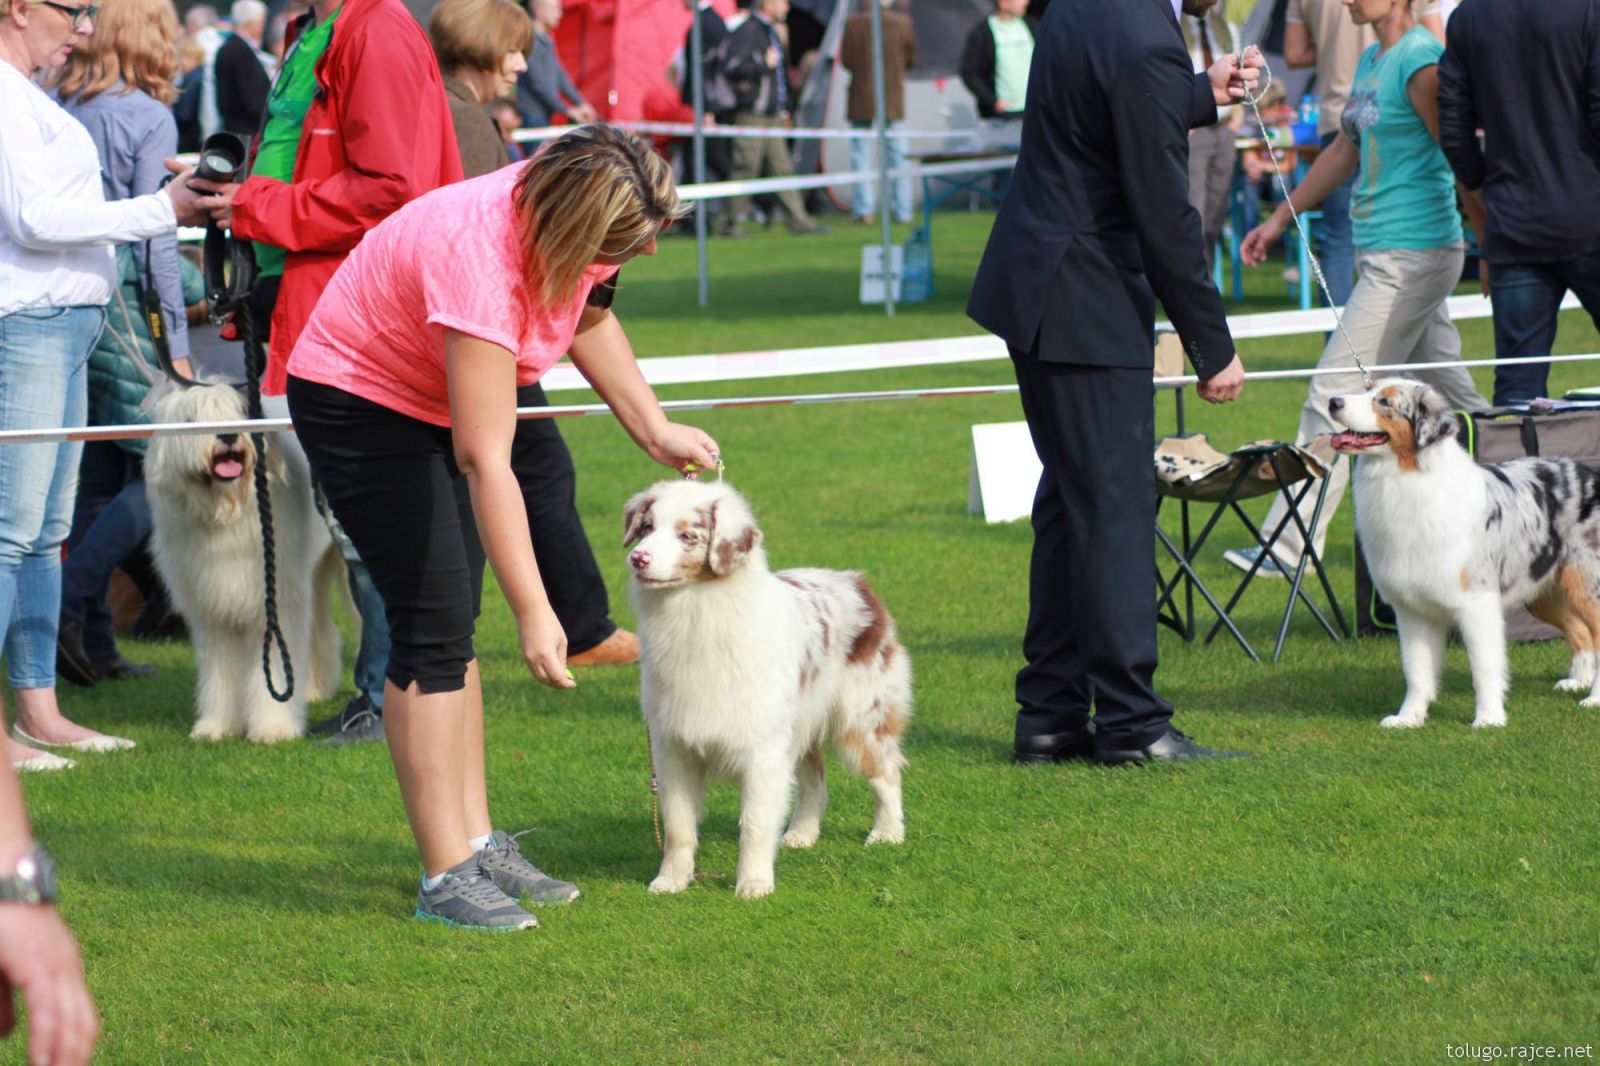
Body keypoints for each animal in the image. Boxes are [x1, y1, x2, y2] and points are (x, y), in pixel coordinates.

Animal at [147, 382, 344, 739]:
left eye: (240, 410)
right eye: (190, 417)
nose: (227, 435)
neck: (229, 514)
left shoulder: (276, 604)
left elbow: (275, 669)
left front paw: (274, 728)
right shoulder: (213, 610)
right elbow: (221, 671)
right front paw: (216, 727)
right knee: (321, 629)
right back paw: (314, 689)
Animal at [620, 480, 908, 896]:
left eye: (688, 536)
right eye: (646, 528)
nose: (638, 558)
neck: (695, 613)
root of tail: (856, 582)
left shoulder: (761, 750)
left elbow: (755, 824)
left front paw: (754, 884)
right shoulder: (674, 748)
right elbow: (677, 825)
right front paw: (671, 879)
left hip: (861, 718)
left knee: (886, 771)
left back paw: (887, 832)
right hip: (799, 723)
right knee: (815, 781)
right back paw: (802, 834)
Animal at [1324, 377, 1600, 726]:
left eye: (1385, 402)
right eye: (1366, 388)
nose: (1333, 402)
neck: (1405, 477)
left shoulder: (1477, 604)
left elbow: (1483, 667)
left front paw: (1488, 719)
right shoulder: (1411, 609)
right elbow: (1416, 670)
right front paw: (1408, 718)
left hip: (1586, 586)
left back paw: (1594, 698)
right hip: (1544, 592)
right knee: (1581, 632)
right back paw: (1577, 681)